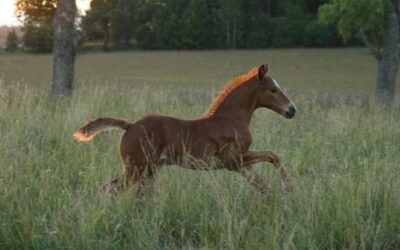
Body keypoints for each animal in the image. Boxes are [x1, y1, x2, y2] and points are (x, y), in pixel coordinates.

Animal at [73, 63, 296, 196]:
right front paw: (289, 187)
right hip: (136, 169)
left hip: (148, 170)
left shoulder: (240, 164)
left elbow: (263, 185)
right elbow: (272, 155)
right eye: (273, 90)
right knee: (110, 189)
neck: (231, 119)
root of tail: (130, 125)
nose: (292, 110)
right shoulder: (232, 160)